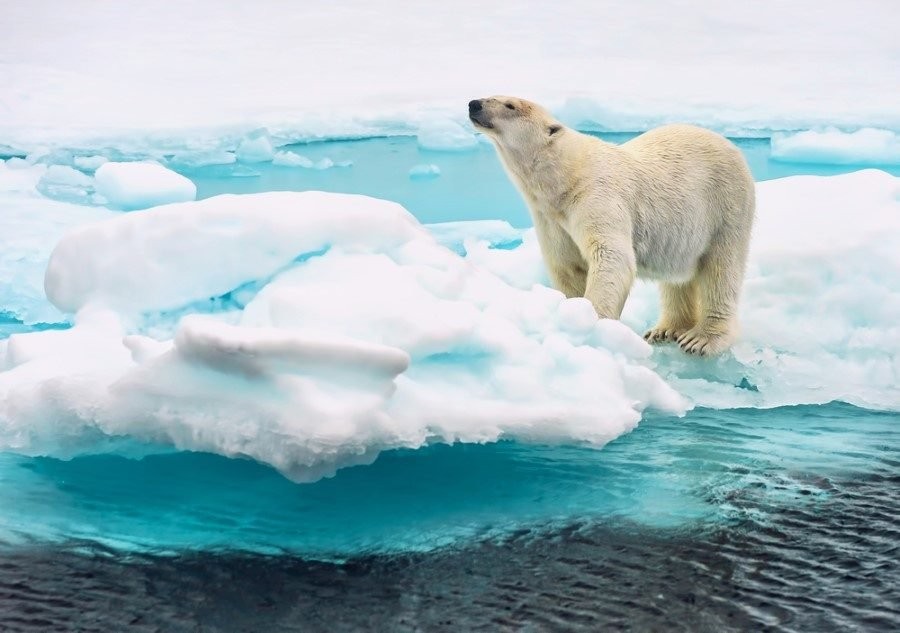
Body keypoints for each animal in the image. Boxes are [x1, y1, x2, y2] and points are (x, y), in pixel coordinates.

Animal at [468, 97, 756, 356]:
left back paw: (703, 338)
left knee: (721, 269)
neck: (566, 179)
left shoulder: (597, 196)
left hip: (726, 206)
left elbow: (611, 256)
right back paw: (665, 330)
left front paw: (593, 325)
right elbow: (567, 266)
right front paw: (572, 315)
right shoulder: (551, 219)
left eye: (510, 105)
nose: (474, 104)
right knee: (678, 277)